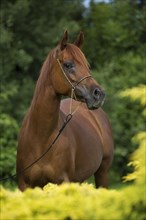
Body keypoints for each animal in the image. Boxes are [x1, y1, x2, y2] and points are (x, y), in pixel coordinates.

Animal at [16, 30, 113, 191]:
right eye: (68, 65)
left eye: (87, 65)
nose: (98, 94)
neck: (41, 138)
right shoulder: (26, 185)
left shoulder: (64, 182)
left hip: (103, 173)